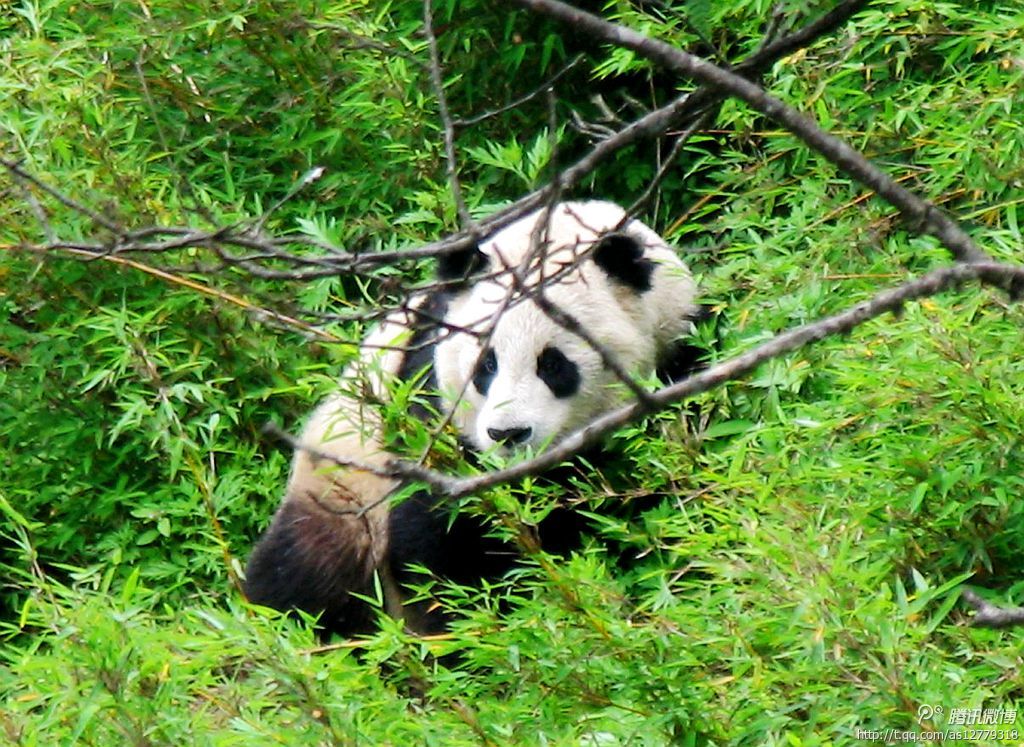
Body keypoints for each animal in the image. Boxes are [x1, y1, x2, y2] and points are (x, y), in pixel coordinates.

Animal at [243, 200, 700, 639]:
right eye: (487, 364)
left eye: (553, 364)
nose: (507, 434)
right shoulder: (427, 398)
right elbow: (438, 536)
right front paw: (469, 625)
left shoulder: (680, 355)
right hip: (340, 488)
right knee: (301, 577)